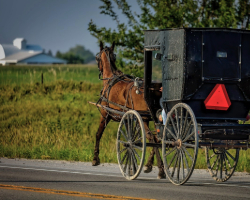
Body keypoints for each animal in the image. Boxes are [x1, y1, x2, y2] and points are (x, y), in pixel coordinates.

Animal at [93, 41, 165, 179]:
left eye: (97, 58)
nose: (98, 69)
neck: (110, 78)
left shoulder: (105, 114)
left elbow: (98, 134)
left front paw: (95, 158)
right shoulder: (127, 118)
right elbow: (130, 138)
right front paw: (132, 167)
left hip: (144, 118)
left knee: (152, 138)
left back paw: (160, 170)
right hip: (154, 117)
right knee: (159, 138)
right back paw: (149, 165)